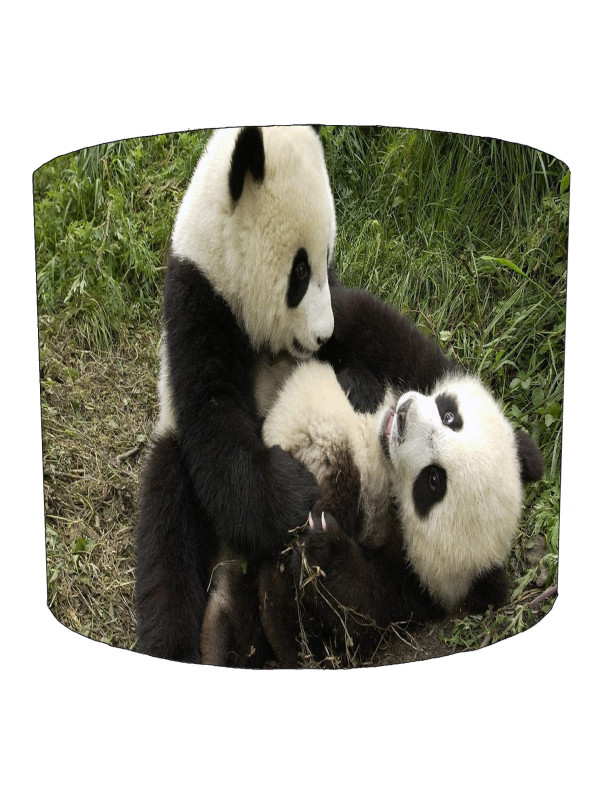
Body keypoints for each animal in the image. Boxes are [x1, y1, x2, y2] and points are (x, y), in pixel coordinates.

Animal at [134, 125, 338, 663]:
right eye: (299, 272)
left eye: (328, 261)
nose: (324, 336)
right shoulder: (198, 304)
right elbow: (214, 421)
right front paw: (294, 489)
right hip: (172, 461)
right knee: (167, 533)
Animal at [200, 359, 544, 668]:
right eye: (450, 416)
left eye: (433, 482)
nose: (403, 415)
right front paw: (359, 383)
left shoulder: (412, 591)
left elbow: (348, 622)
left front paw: (323, 547)